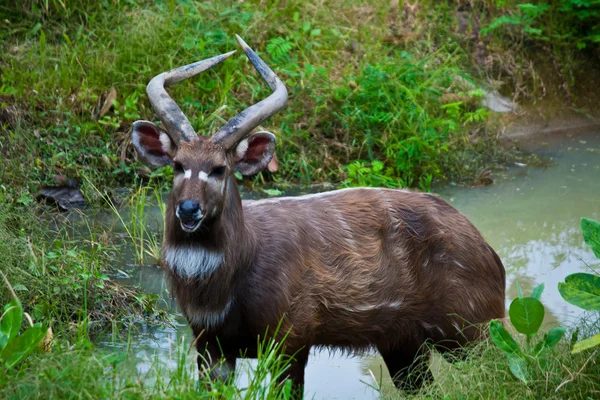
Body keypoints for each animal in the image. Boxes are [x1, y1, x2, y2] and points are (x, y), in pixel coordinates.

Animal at [131, 36, 506, 396]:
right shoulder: (211, 345)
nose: (188, 209)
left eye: (219, 169)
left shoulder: (290, 340)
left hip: (470, 329)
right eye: (178, 165)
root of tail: (487, 250)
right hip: (404, 345)